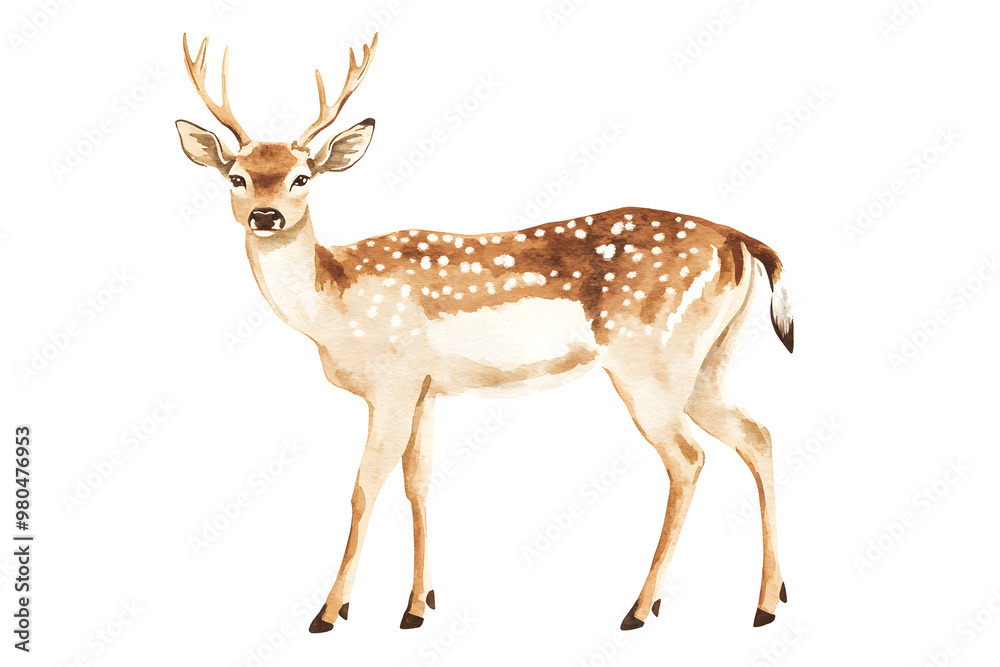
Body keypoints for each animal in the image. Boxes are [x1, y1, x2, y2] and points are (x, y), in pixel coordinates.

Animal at [174, 32, 794, 634]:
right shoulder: (425, 391)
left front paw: (330, 613)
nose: (266, 216)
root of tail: (742, 241)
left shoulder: (393, 383)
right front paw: (417, 607)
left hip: (652, 360)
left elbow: (363, 486)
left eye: (302, 177)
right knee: (758, 435)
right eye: (237, 177)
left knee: (689, 459)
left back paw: (641, 609)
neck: (335, 305)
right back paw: (767, 602)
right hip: (706, 362)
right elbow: (418, 483)